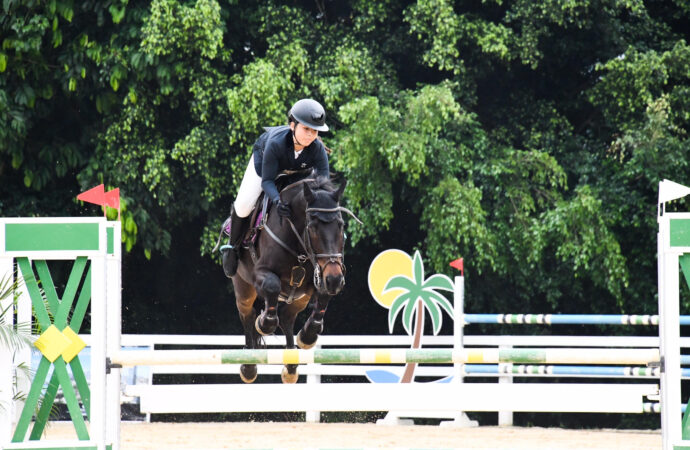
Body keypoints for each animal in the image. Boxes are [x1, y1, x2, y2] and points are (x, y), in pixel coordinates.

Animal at [232, 176, 360, 384]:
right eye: (312, 227)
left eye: (341, 225)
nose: (335, 279)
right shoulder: (260, 273)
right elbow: (272, 286)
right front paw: (265, 323)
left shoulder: (319, 275)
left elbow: (323, 294)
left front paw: (308, 335)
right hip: (243, 287)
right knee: (248, 315)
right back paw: (249, 366)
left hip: (300, 298)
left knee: (287, 317)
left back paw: (291, 365)